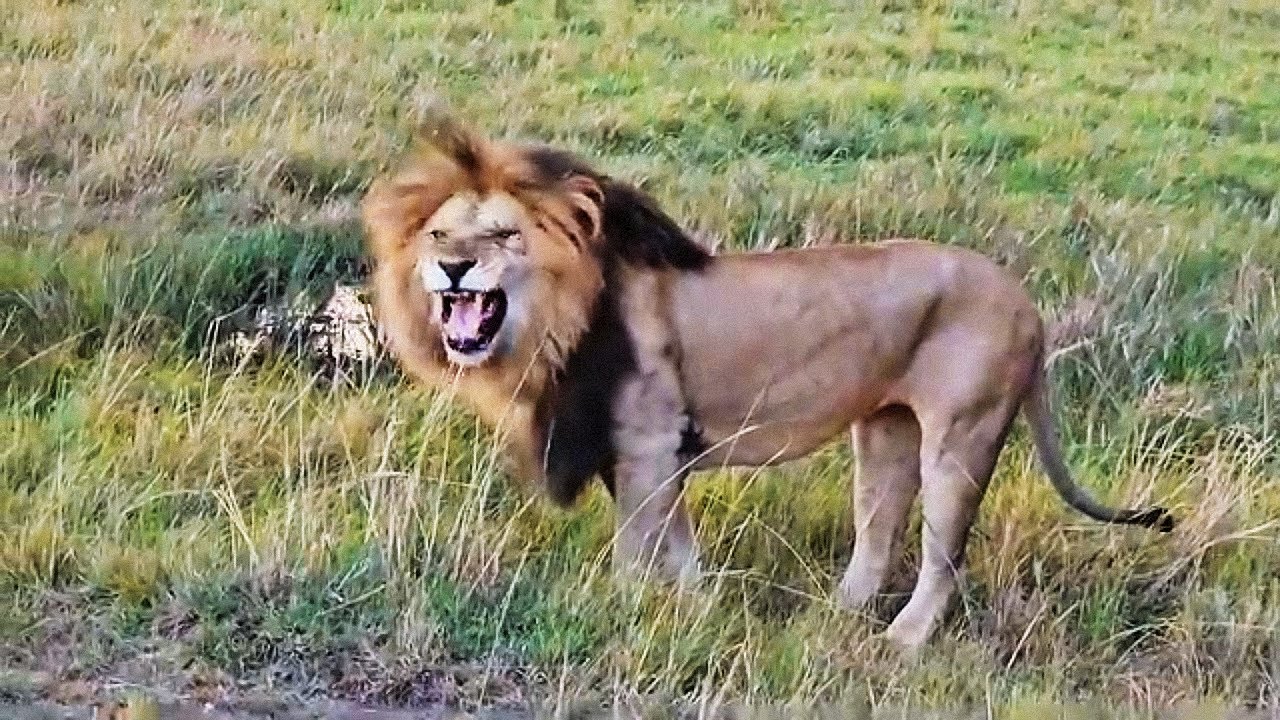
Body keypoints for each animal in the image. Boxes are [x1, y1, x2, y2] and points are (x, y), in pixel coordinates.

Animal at [361, 116, 1174, 648]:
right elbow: (678, 549)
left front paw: (623, 615)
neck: (552, 327)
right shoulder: (652, 455)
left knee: (945, 555)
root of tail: (1027, 304)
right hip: (884, 433)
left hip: (962, 435)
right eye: (439, 234)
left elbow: (635, 551)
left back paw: (901, 644)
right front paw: (697, 608)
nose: (454, 267)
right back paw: (835, 617)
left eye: (503, 235)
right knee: (878, 535)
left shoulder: (648, 444)